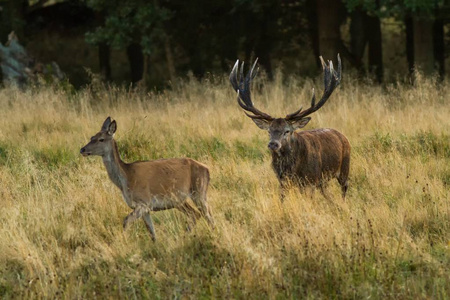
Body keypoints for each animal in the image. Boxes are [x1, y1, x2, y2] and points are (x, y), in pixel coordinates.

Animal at [81, 117, 214, 241]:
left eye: (101, 139)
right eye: (92, 137)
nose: (82, 149)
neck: (127, 178)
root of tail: (207, 169)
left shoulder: (144, 202)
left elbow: (126, 220)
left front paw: (124, 240)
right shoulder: (145, 208)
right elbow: (152, 233)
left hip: (199, 191)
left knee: (208, 216)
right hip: (179, 200)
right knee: (195, 214)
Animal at [230, 55, 350, 200]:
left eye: (287, 131)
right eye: (269, 131)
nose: (273, 144)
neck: (292, 168)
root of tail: (342, 135)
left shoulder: (311, 180)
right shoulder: (283, 181)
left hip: (344, 168)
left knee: (344, 188)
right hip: (323, 181)